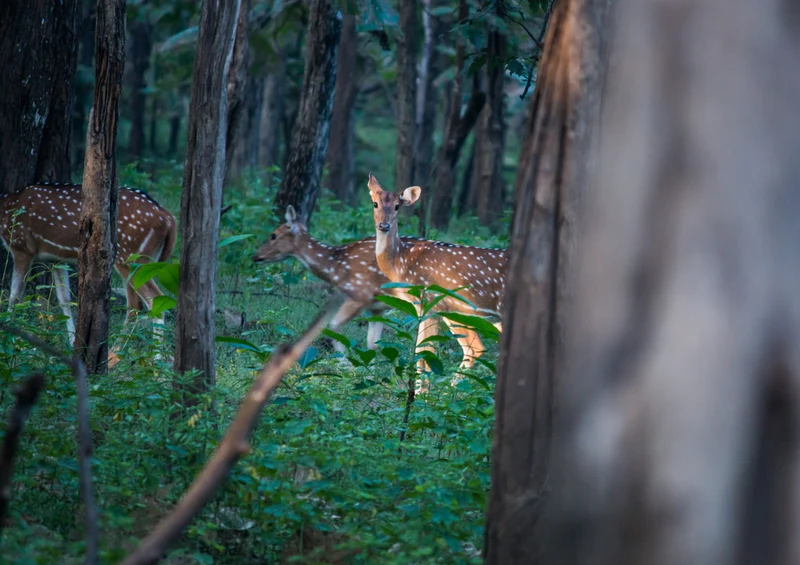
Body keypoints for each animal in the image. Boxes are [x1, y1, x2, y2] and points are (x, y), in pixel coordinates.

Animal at [1, 182, 177, 346]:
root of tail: (168, 218)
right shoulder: (56, 259)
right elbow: (64, 298)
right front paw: (72, 341)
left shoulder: (21, 246)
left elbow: (15, 295)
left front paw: (9, 336)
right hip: (143, 260)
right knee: (135, 305)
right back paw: (116, 352)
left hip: (130, 255)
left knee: (152, 299)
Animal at [252, 205, 485, 368]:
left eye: (273, 235)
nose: (256, 256)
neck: (336, 266)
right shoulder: (377, 307)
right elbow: (372, 343)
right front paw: (371, 373)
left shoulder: (359, 294)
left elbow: (333, 327)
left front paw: (347, 366)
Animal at [367, 173, 506, 381]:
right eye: (375, 203)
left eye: (397, 206)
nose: (384, 225)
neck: (401, 262)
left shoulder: (429, 301)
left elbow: (424, 353)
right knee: (475, 348)